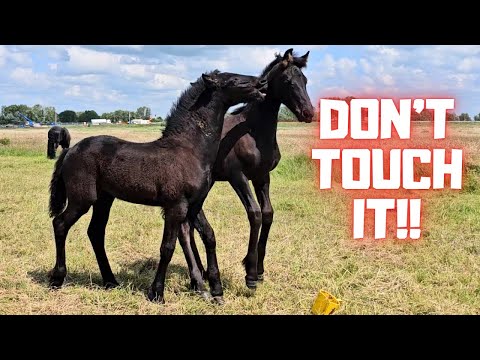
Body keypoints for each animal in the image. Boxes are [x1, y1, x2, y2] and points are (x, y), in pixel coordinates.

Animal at [48, 69, 274, 304]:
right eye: (234, 79)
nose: (262, 82)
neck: (190, 150)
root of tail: (70, 151)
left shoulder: (193, 207)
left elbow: (203, 237)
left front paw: (215, 291)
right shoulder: (175, 207)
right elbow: (168, 247)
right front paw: (157, 293)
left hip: (104, 200)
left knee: (95, 232)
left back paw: (110, 280)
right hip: (82, 199)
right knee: (60, 224)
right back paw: (57, 278)